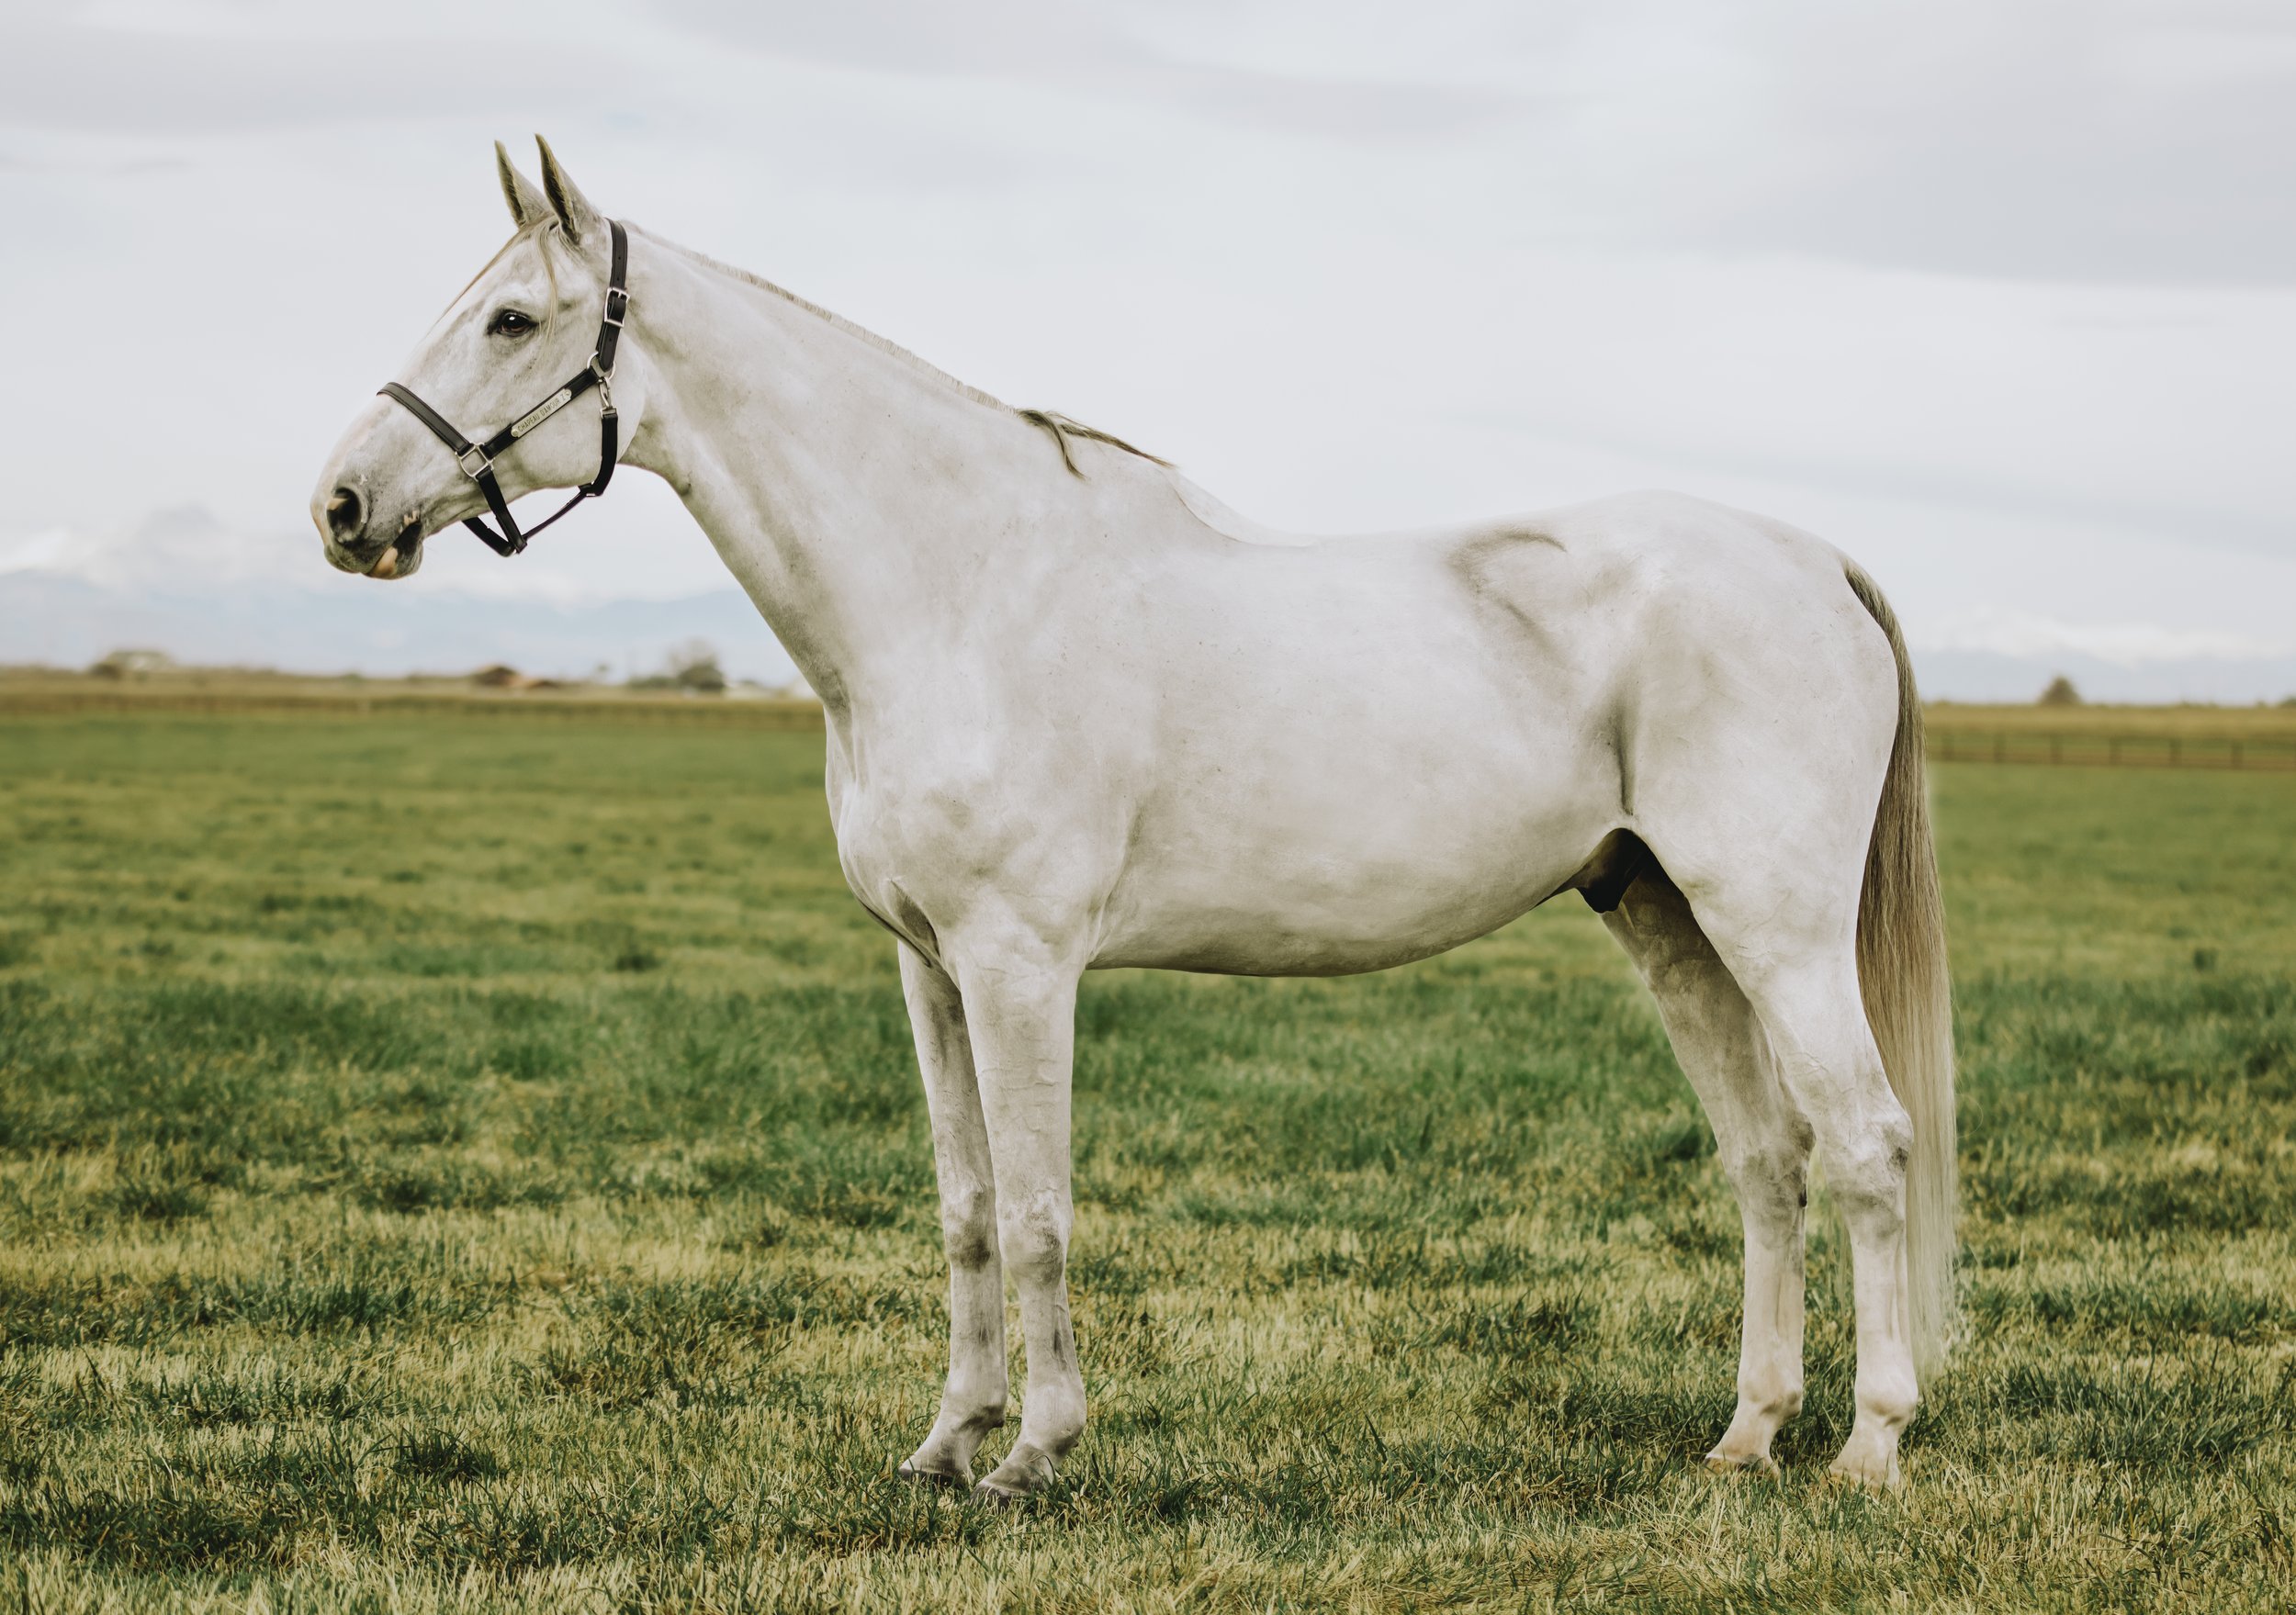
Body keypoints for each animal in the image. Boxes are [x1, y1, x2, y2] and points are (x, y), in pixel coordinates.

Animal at [311, 138, 1955, 1500]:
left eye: (510, 320)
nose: (341, 505)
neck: (959, 588)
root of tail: (1815, 556)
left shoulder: (1020, 965)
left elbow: (1042, 1207)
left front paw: (1035, 1451)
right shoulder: (929, 968)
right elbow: (969, 1206)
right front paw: (944, 1441)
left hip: (1773, 924)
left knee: (1868, 1144)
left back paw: (1869, 1443)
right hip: (1668, 917)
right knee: (1767, 1157)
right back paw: (1746, 1432)